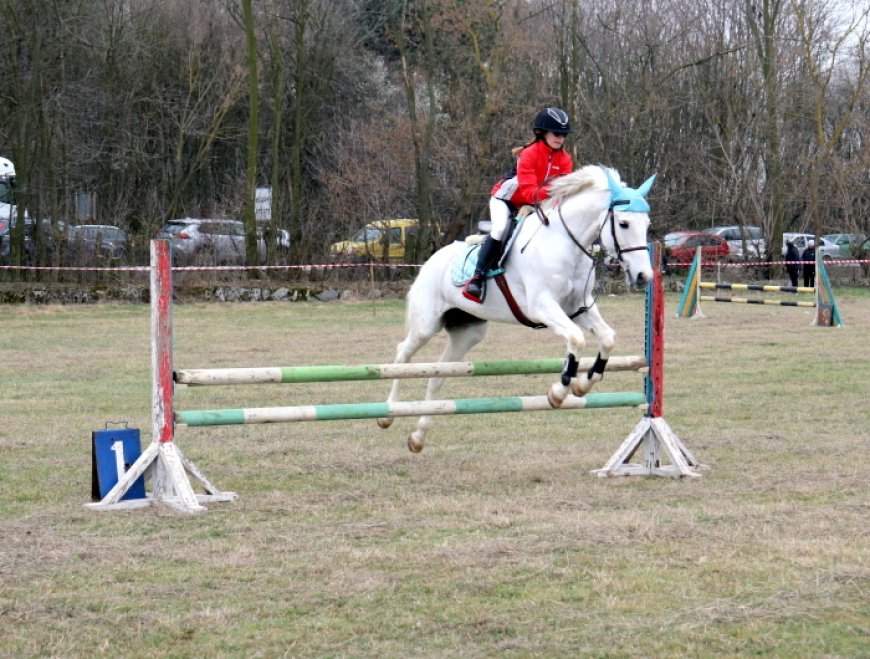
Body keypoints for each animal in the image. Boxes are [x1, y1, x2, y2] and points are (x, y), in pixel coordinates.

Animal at [378, 165, 656, 454]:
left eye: (646, 224)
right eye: (623, 224)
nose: (643, 276)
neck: (564, 244)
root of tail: (432, 259)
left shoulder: (578, 308)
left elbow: (607, 338)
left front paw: (583, 384)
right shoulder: (542, 305)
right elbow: (576, 339)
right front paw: (558, 392)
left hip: (467, 333)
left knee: (438, 375)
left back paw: (417, 437)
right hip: (426, 325)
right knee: (403, 354)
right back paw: (387, 414)